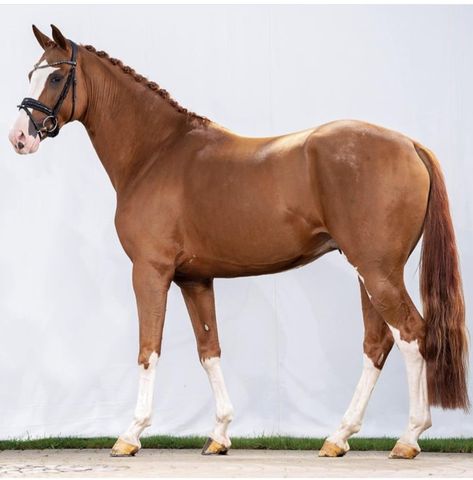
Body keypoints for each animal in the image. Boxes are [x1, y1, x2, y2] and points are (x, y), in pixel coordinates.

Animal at [9, 24, 466, 460]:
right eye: (32, 74)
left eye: (55, 76)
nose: (19, 138)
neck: (155, 154)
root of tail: (410, 145)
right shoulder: (194, 280)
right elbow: (209, 349)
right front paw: (219, 435)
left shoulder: (150, 272)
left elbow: (148, 349)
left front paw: (131, 434)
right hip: (369, 274)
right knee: (378, 343)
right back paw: (338, 437)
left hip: (377, 273)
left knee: (411, 335)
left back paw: (408, 437)